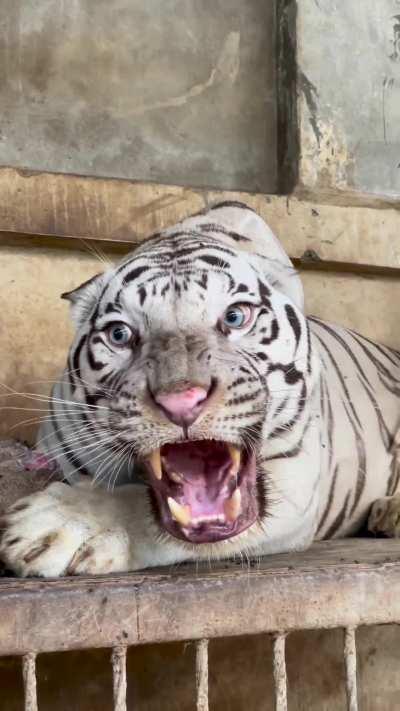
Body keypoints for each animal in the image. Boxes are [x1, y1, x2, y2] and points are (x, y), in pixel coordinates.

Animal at [1, 201, 400, 578]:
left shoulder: (297, 477)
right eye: (119, 334)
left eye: (236, 317)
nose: (180, 403)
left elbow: (135, 504)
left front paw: (56, 525)